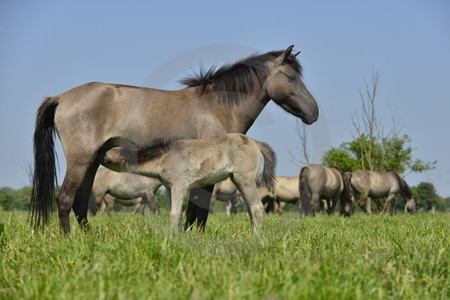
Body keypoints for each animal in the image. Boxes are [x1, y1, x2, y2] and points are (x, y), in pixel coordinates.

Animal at [101, 133, 276, 230]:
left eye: (105, 155)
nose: (97, 155)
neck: (167, 156)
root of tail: (255, 142)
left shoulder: (180, 186)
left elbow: (175, 214)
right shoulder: (170, 188)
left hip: (245, 180)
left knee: (257, 207)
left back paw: (256, 237)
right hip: (238, 181)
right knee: (250, 208)